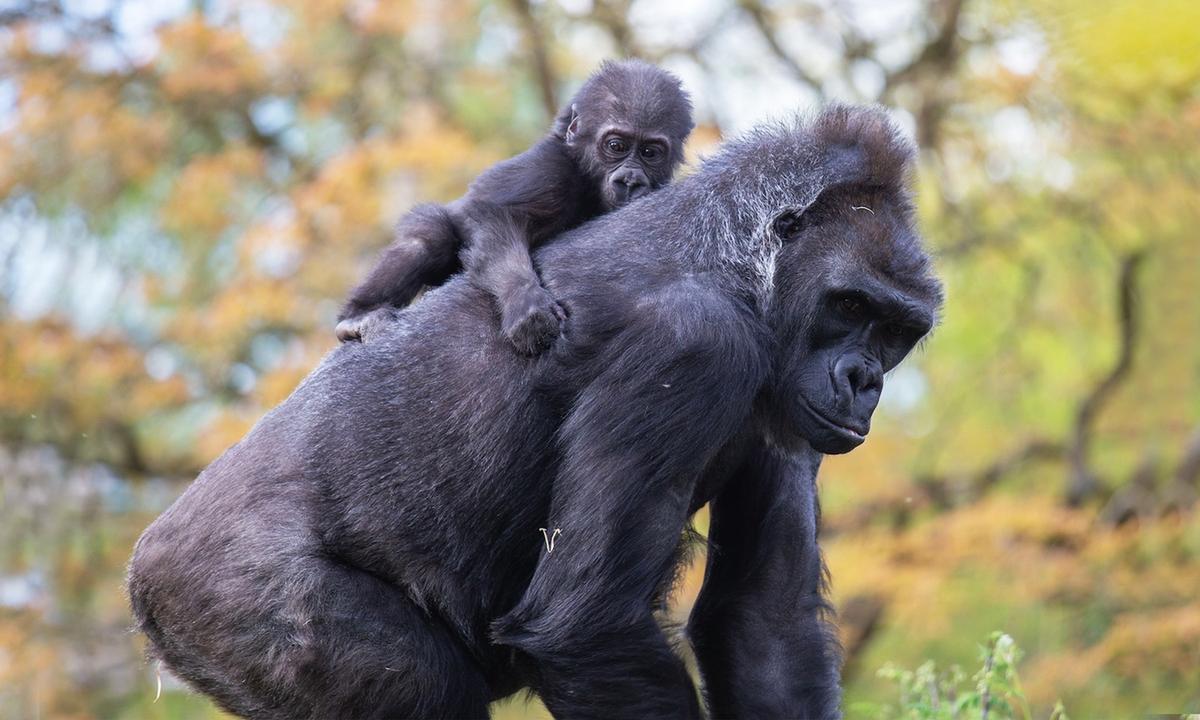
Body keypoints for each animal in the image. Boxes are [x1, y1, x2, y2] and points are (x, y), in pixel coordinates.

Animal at [334, 59, 694, 355]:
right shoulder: (548, 171)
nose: (631, 180)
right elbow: (495, 216)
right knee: (429, 239)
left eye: (650, 152)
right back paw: (359, 315)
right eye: (616, 146)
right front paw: (526, 304)